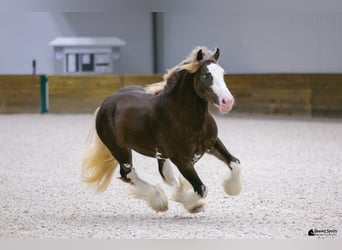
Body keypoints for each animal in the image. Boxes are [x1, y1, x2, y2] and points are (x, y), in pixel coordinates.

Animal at [81, 46, 242, 213]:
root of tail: (105, 104)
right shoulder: (181, 159)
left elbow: (235, 163)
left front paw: (231, 189)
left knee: (164, 174)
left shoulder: (212, 143)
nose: (227, 102)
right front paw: (191, 203)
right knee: (128, 174)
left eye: (222, 74)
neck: (185, 117)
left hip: (159, 153)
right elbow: (201, 188)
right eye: (205, 75)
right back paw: (159, 200)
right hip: (120, 149)